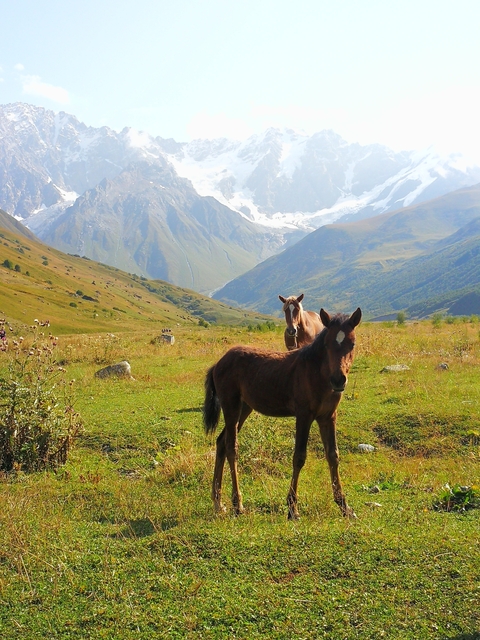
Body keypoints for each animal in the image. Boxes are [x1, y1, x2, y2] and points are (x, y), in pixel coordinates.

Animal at [203, 307, 362, 520]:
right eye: (327, 344)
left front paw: (344, 506)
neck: (316, 373)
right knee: (230, 447)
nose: (338, 380)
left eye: (352, 344)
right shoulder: (304, 415)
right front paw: (292, 508)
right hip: (231, 406)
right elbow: (299, 457)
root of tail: (218, 363)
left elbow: (333, 455)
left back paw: (218, 502)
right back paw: (237, 504)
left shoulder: (328, 417)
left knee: (221, 442)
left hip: (245, 408)